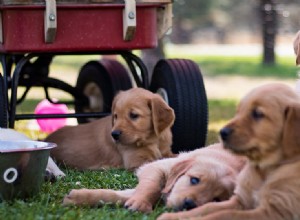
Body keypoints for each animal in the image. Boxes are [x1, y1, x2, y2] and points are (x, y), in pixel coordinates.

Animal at [45, 87, 175, 170]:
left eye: (133, 115)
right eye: (116, 116)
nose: (114, 135)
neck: (152, 140)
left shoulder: (166, 151)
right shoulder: (137, 160)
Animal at [62, 143, 245, 213]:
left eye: (216, 200)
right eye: (194, 180)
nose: (189, 205)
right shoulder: (157, 167)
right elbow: (149, 186)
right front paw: (79, 197)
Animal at [159, 82, 300, 220]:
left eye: (258, 114)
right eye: (238, 112)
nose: (222, 132)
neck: (265, 169)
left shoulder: (273, 212)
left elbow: (222, 215)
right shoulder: (240, 200)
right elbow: (207, 208)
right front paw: (172, 216)